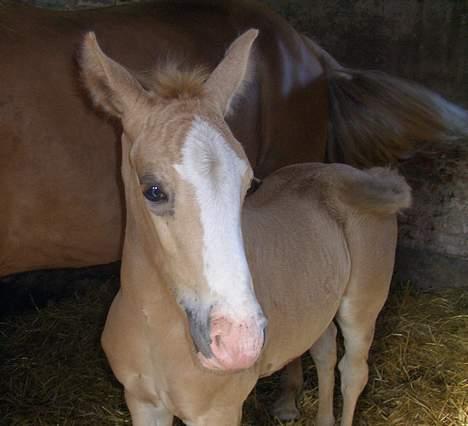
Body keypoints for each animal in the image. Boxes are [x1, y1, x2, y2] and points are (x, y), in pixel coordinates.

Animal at [82, 28, 412, 424]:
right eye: (153, 190)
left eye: (247, 183)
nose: (240, 343)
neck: (154, 324)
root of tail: (360, 175)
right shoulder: (142, 402)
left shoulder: (218, 411)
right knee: (324, 347)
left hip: (363, 304)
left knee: (353, 371)